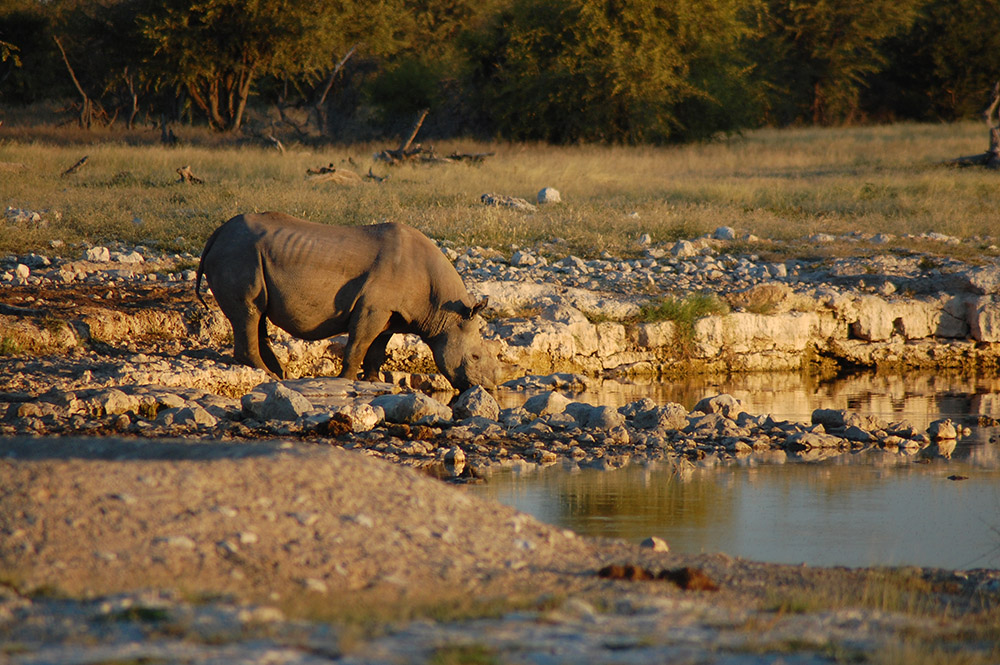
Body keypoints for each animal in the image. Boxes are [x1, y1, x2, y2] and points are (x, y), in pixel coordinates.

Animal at [196, 212, 501, 390]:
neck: (443, 311)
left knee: (257, 316)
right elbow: (359, 343)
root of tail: (216, 235)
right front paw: (346, 380)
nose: (488, 388)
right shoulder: (373, 307)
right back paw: (268, 376)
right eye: (475, 357)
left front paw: (374, 381)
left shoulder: (390, 312)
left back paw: (280, 375)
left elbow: (377, 348)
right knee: (249, 312)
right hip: (239, 253)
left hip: (245, 253)